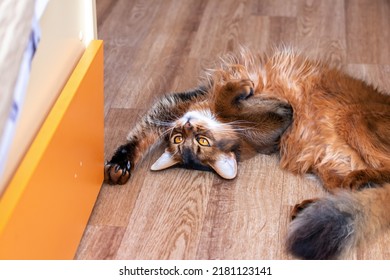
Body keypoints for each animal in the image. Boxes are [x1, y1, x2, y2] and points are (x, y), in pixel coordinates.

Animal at [209, 47, 390, 260]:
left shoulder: (279, 114)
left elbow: (222, 106)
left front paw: (233, 90)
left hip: (352, 117)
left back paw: (359, 180)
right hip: (328, 170)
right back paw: (314, 206)